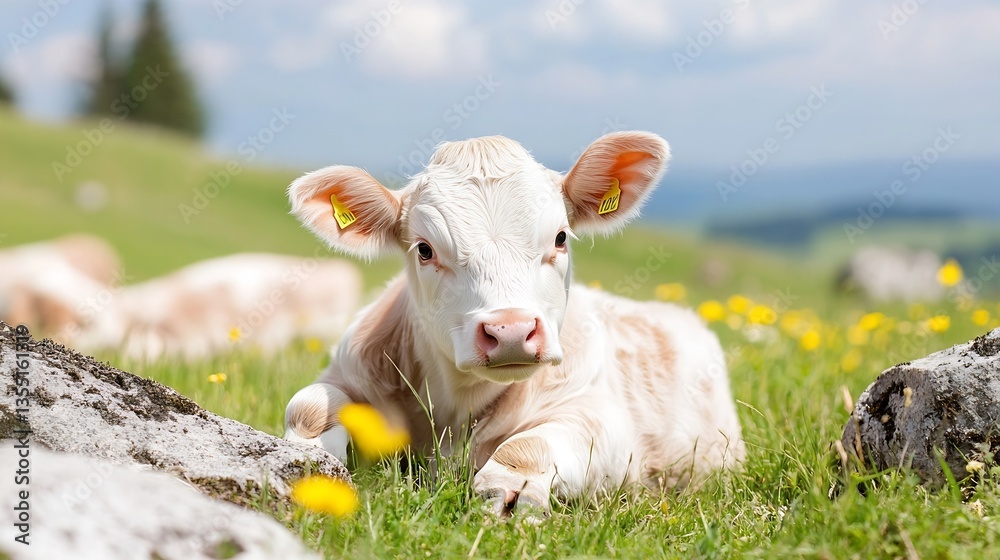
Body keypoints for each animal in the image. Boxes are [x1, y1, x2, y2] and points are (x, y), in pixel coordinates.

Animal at [283, 132, 744, 516]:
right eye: (425, 249)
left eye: (560, 237)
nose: (511, 332)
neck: (457, 406)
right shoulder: (348, 373)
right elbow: (308, 408)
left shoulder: (601, 418)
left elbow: (527, 447)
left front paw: (510, 493)